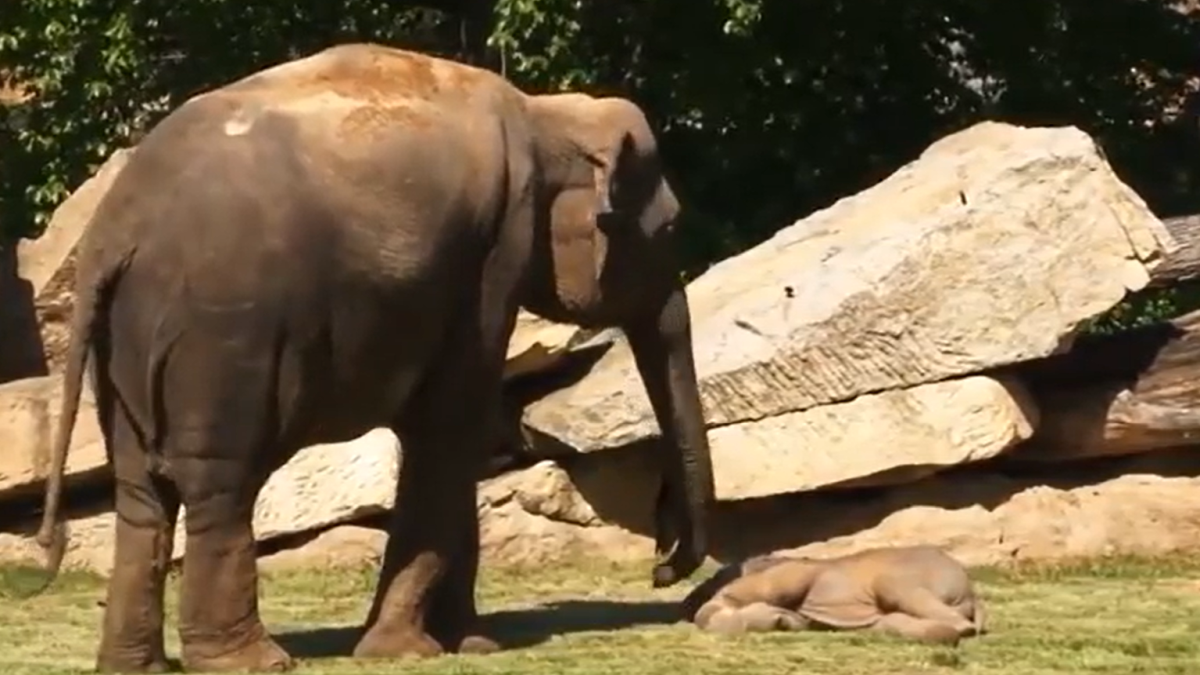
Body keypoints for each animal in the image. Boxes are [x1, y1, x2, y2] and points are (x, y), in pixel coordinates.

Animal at [35, 44, 710, 667]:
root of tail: (111, 237)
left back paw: (137, 664)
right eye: (670, 229)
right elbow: (448, 428)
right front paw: (405, 650)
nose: (662, 568)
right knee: (218, 485)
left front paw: (472, 643)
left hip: (121, 346)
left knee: (140, 494)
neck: (546, 113)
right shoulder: (494, 255)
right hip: (221, 339)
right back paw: (256, 662)